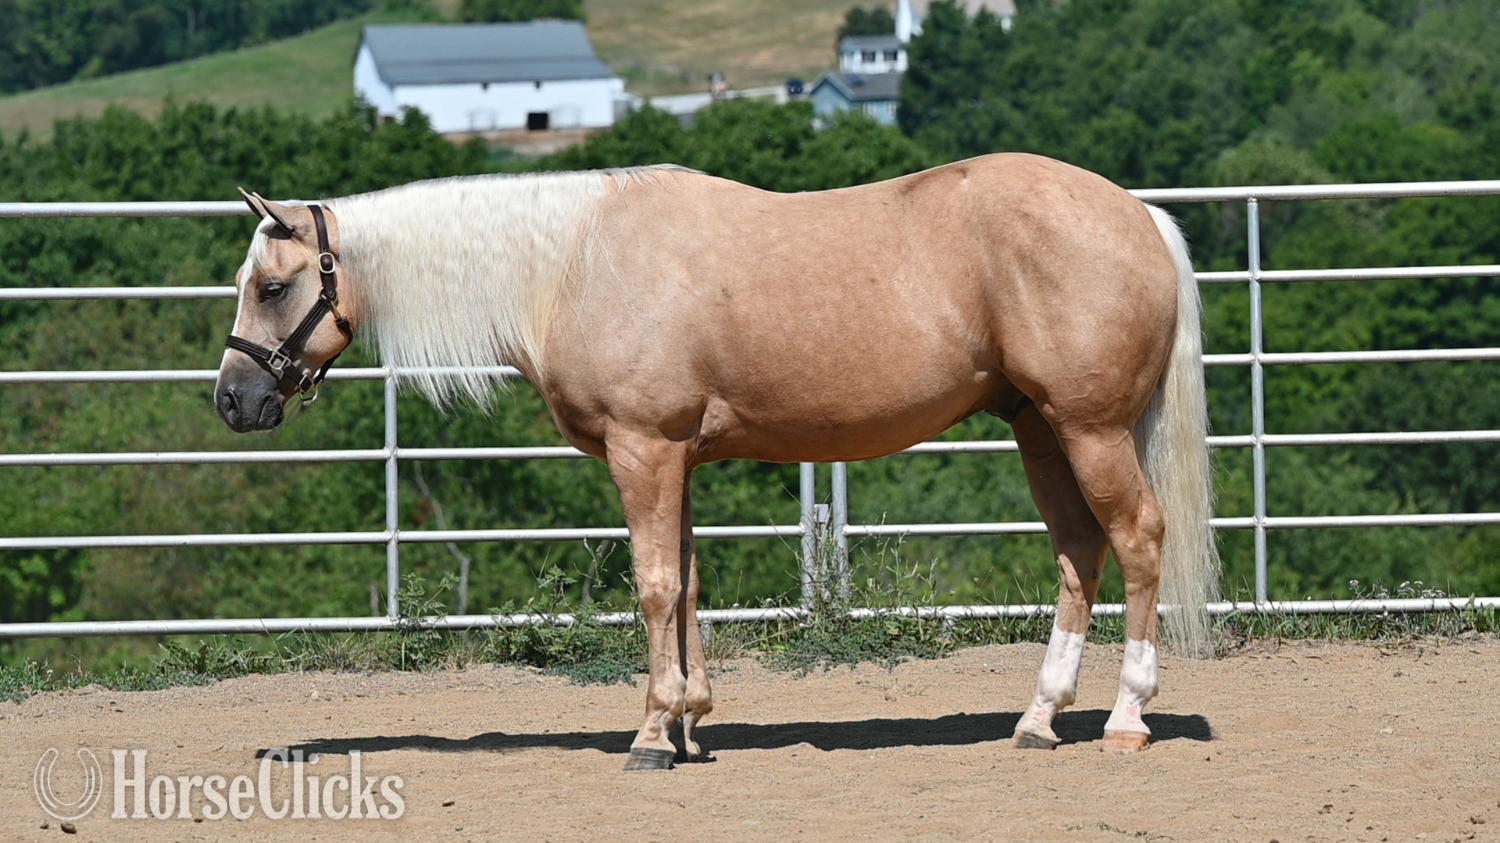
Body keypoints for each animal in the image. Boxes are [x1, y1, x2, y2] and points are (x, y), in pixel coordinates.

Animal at [213, 153, 1218, 770]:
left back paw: (1127, 717)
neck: (574, 266)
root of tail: (1139, 214)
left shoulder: (643, 449)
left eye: (275, 286)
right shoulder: (678, 459)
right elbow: (690, 581)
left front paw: (654, 733)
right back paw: (1039, 719)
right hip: (1040, 429)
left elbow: (655, 584)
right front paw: (692, 720)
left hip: (1089, 429)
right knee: (1078, 552)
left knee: (1137, 539)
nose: (234, 400)